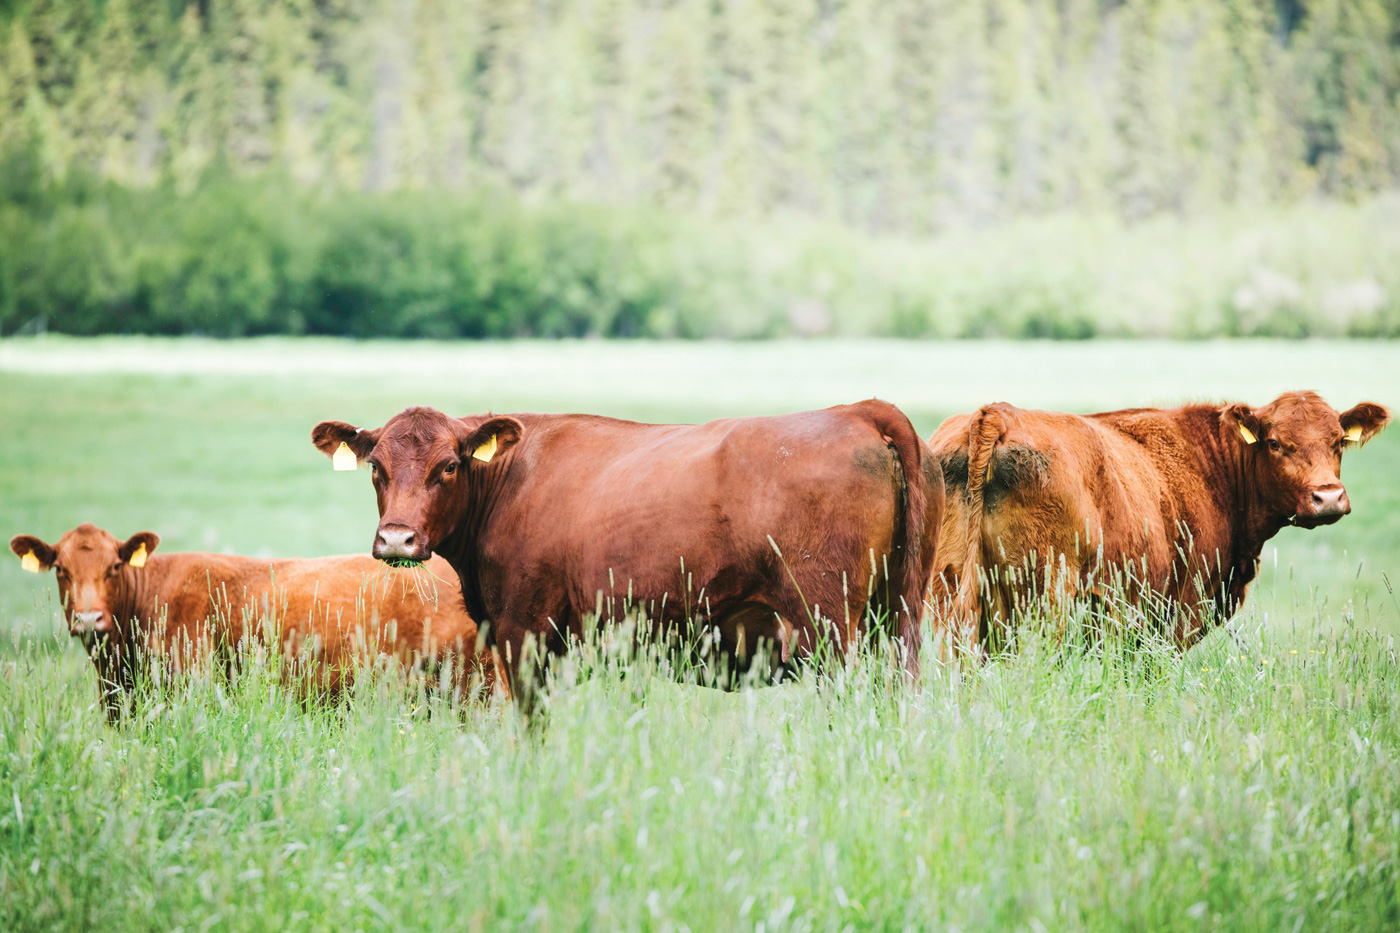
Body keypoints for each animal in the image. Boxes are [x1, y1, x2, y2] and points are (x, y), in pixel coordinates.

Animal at [310, 401, 942, 702]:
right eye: (376, 466)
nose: (397, 539)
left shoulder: (524, 633)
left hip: (829, 626)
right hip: (896, 615)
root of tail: (856, 410)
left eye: (448, 466)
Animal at [929, 391, 1390, 650]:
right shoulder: (1178, 612)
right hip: (1044, 598)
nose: (1327, 497)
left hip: (956, 595)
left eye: (1338, 442)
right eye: (1275, 443)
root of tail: (997, 413)